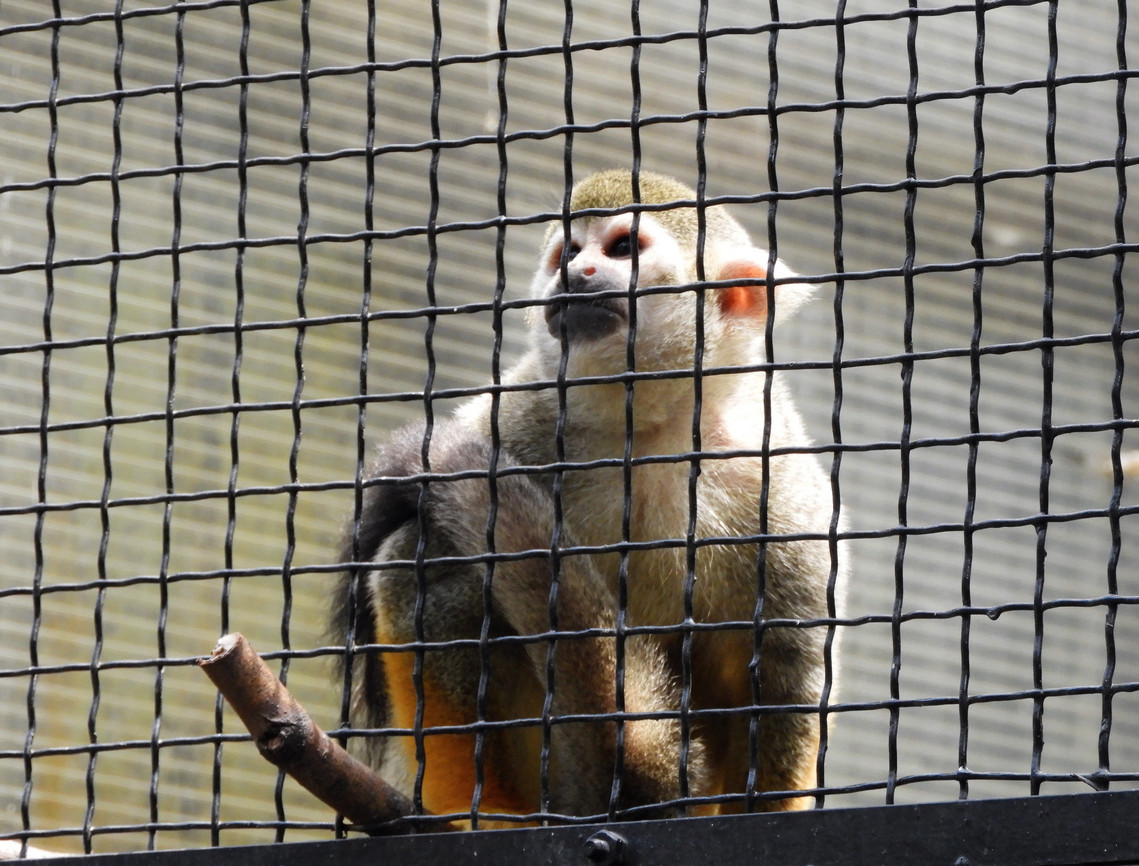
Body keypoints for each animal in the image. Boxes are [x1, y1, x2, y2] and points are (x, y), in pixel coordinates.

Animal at [331, 169, 847, 827]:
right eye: (568, 253)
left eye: (623, 248)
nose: (574, 273)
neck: (648, 432)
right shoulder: (517, 417)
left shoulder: (779, 484)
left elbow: (787, 665)